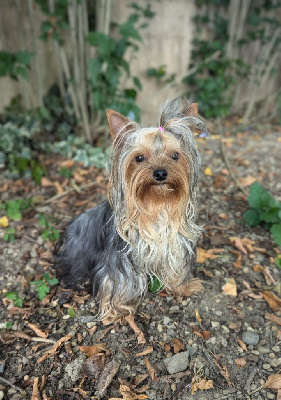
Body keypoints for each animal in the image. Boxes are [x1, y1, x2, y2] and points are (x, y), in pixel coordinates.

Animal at [55, 98, 208, 324]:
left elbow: (175, 267)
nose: (160, 173)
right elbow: (118, 280)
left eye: (174, 156)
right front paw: (117, 311)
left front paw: (183, 287)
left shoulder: (174, 246)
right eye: (139, 158)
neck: (157, 206)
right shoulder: (119, 258)